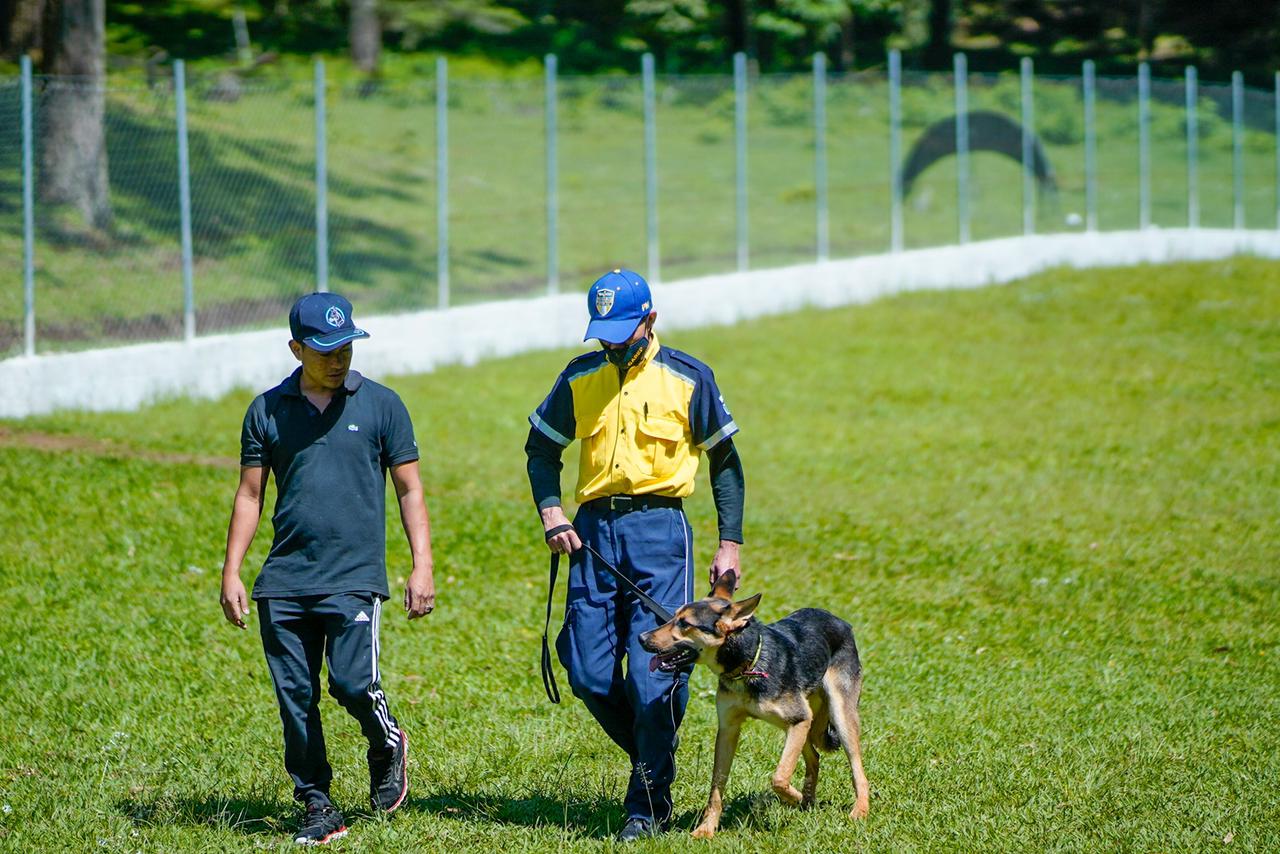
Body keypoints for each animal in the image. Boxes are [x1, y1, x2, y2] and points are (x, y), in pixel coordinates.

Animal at [640, 571, 870, 839]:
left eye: (684, 623)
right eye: (675, 616)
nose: (641, 638)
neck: (747, 663)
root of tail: (841, 622)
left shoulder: (798, 719)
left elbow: (779, 777)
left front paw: (792, 797)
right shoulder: (728, 729)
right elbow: (716, 787)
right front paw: (706, 830)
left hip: (838, 714)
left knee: (857, 769)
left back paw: (858, 810)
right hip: (803, 723)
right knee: (814, 758)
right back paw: (807, 802)